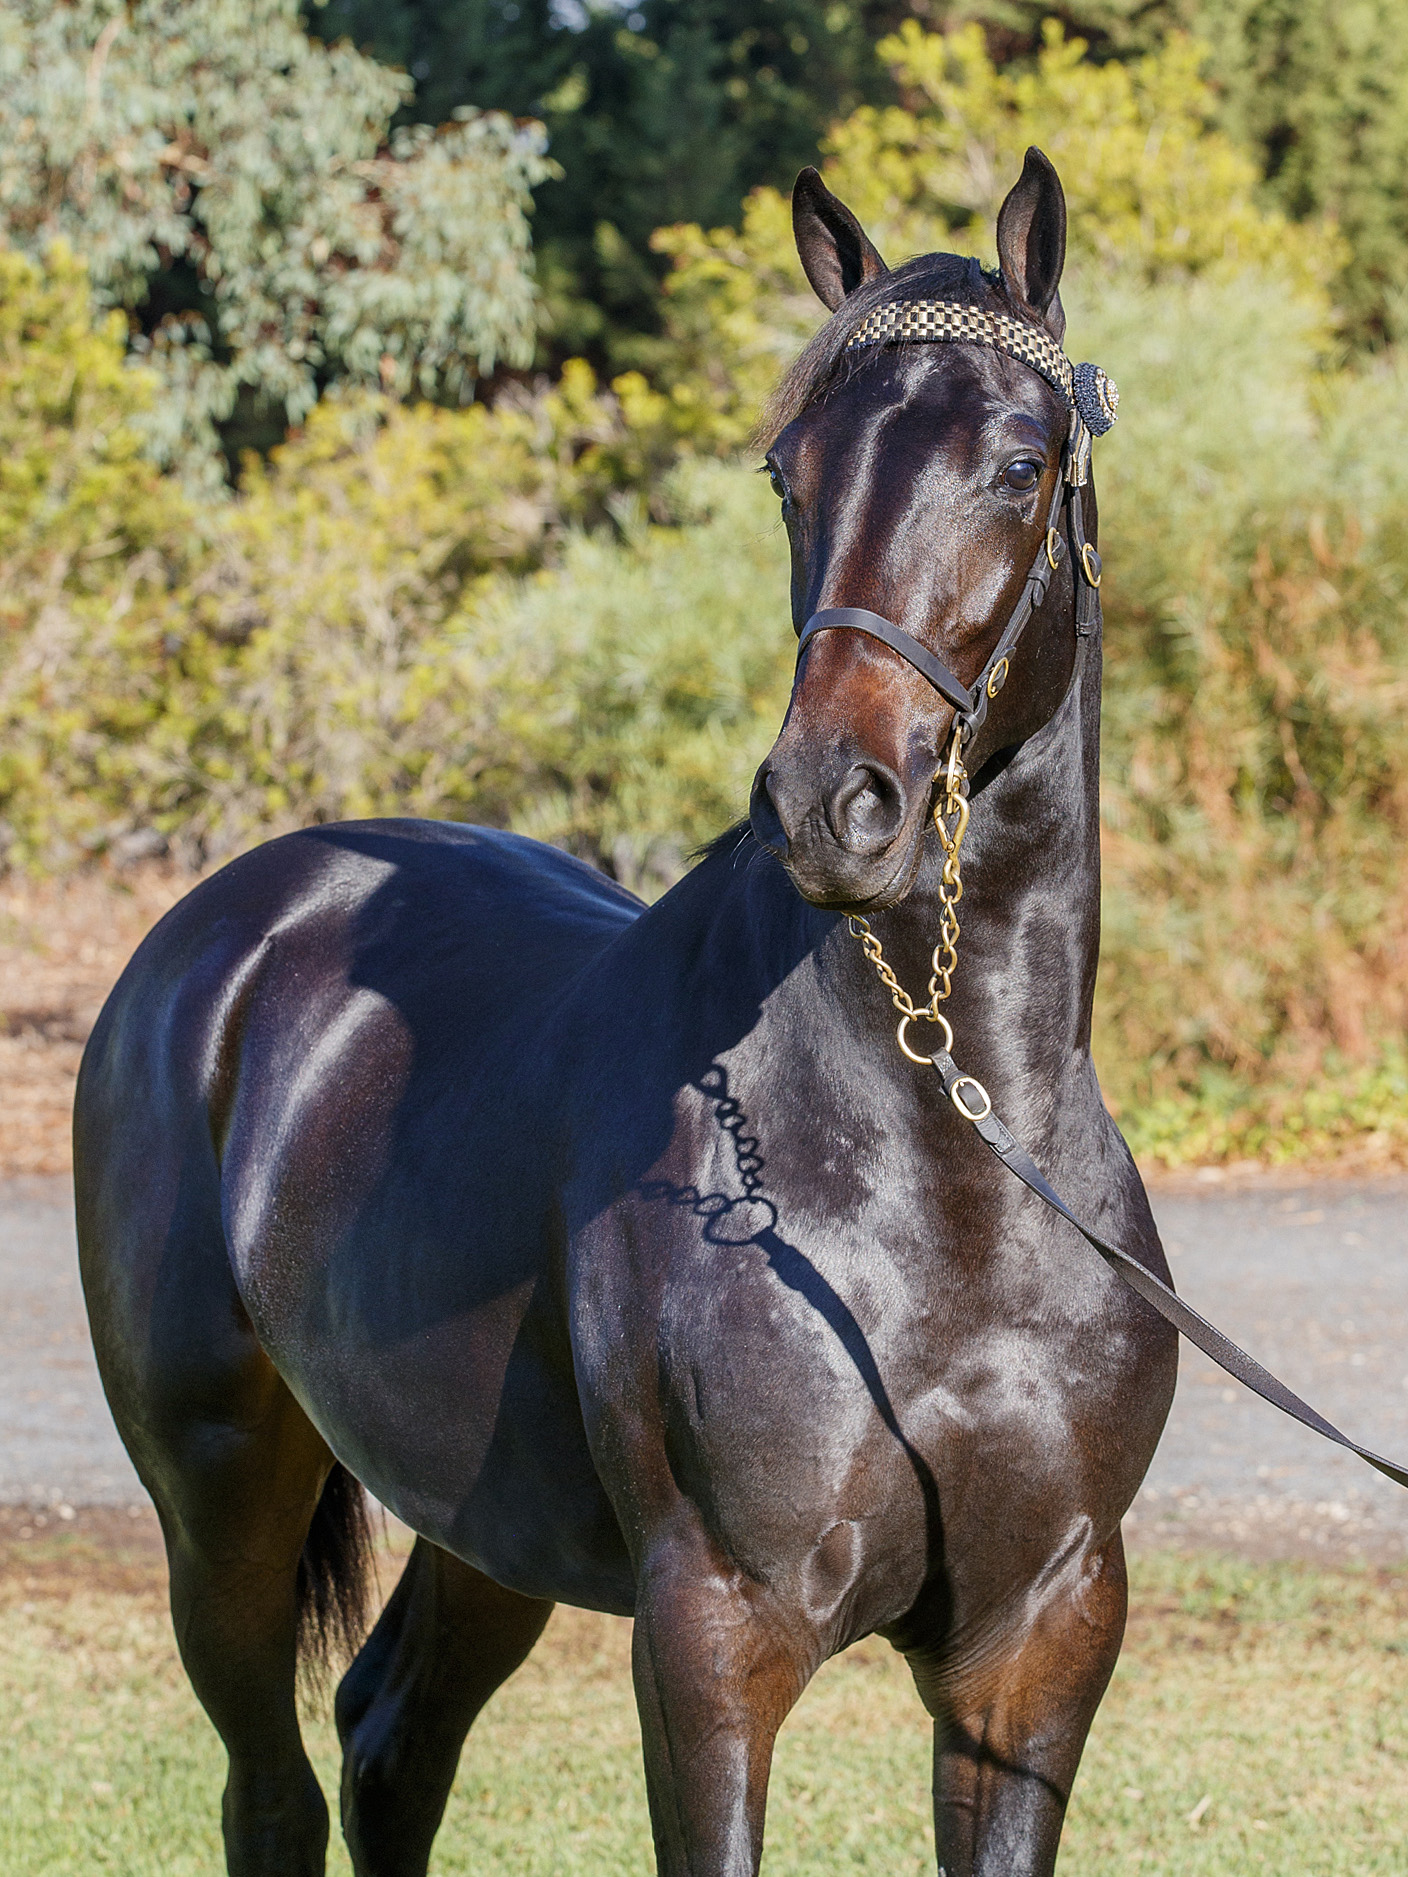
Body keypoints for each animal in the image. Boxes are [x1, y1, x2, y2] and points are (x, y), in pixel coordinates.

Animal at [75, 146, 1176, 1877]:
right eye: (791, 472)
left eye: (1018, 463)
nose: (834, 802)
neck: (953, 1176)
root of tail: (220, 933)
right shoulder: (716, 1632)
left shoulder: (1040, 1639)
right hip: (220, 1497)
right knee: (274, 1792)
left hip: (479, 1523)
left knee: (390, 1743)